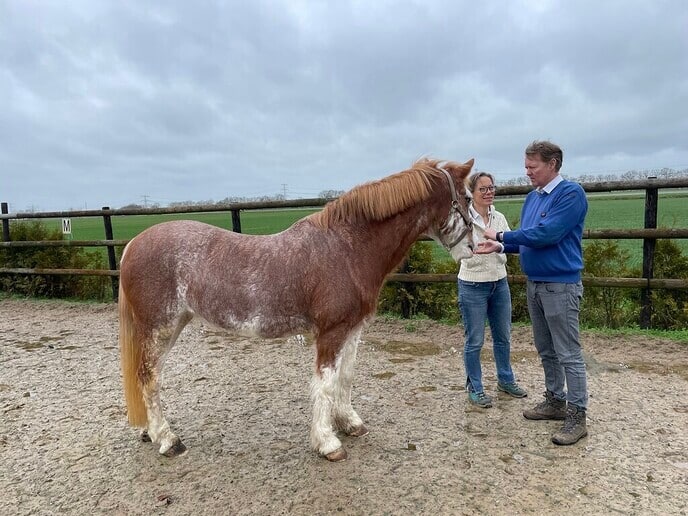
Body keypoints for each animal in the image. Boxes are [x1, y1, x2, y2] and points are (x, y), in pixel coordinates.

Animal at [119, 157, 475, 462]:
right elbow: (325, 383)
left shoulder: (353, 329)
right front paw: (328, 443)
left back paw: (151, 432)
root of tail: (131, 244)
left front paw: (350, 423)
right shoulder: (330, 333)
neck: (347, 248)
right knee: (149, 377)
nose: (474, 247)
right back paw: (168, 440)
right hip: (159, 327)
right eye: (468, 198)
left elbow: (345, 377)